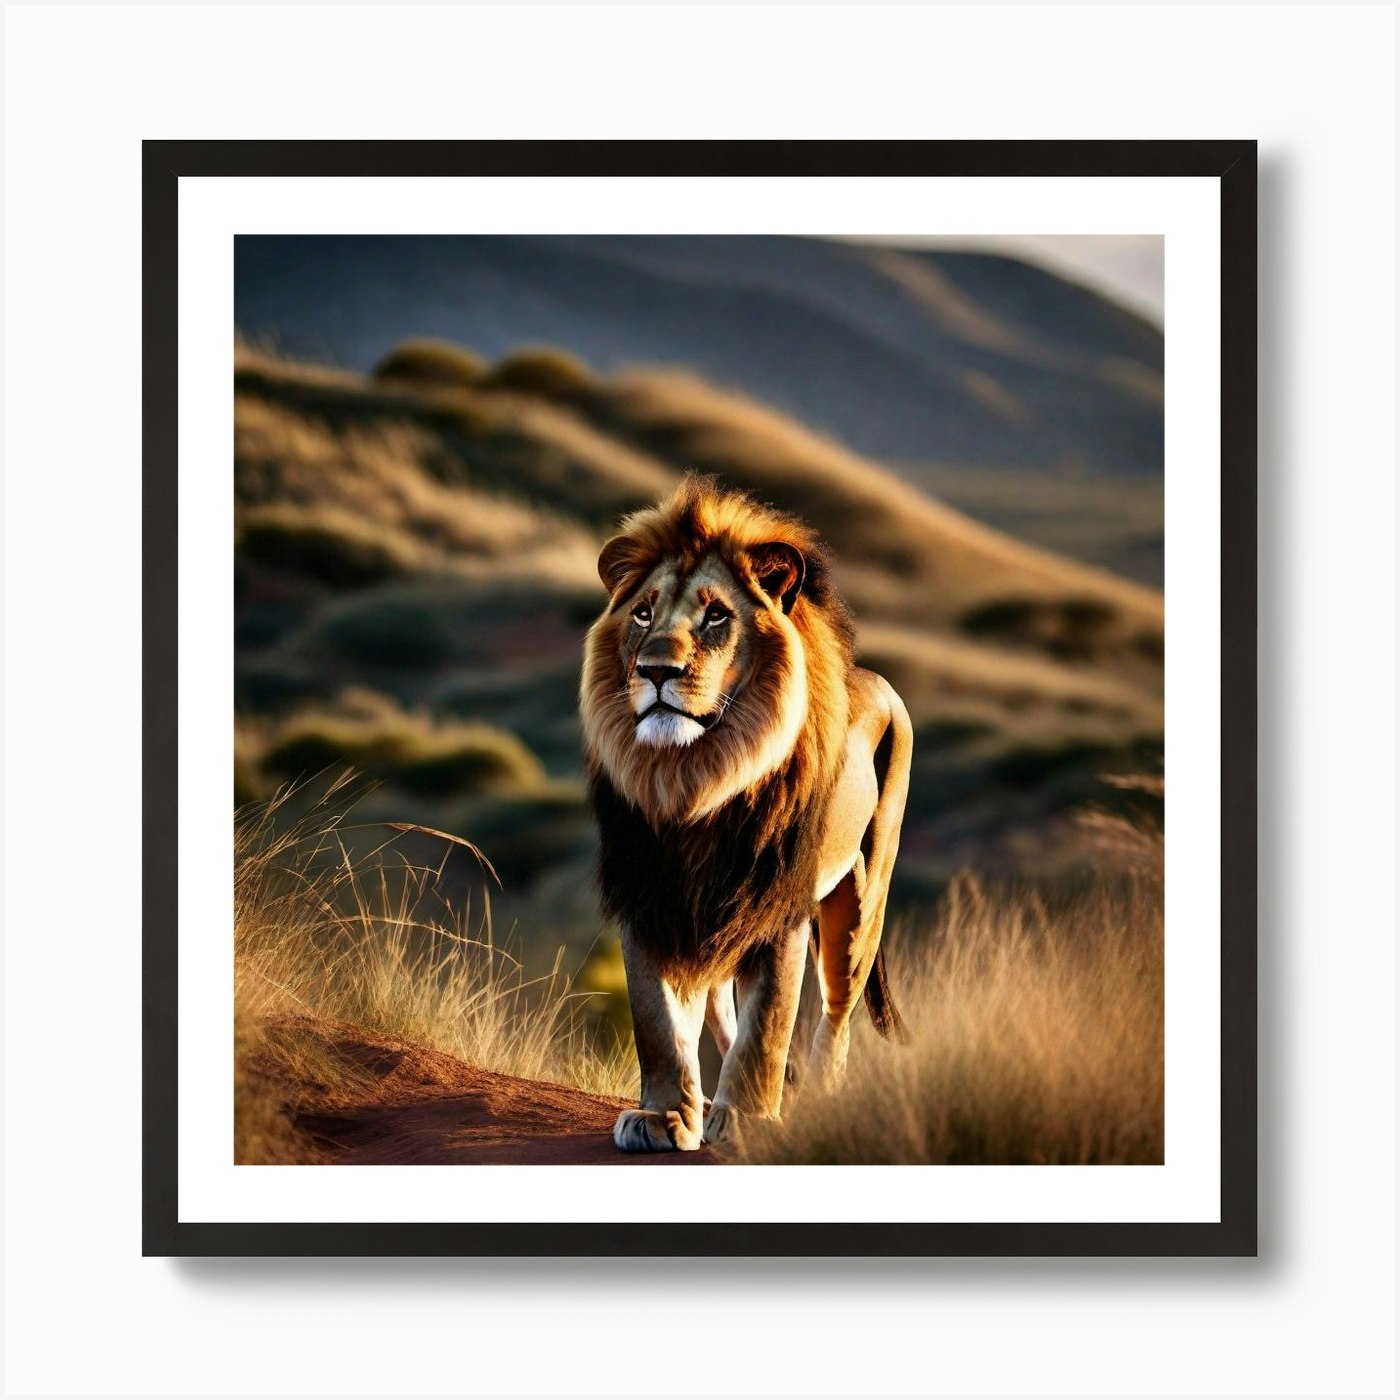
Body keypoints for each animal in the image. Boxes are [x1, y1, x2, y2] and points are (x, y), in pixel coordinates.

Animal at [581, 476, 912, 1152]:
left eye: (716, 616)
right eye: (643, 612)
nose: (656, 670)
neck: (694, 779)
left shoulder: (777, 905)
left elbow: (771, 1018)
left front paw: (749, 1120)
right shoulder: (647, 894)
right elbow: (656, 1018)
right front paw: (664, 1116)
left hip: (860, 903)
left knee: (836, 1012)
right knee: (716, 1002)